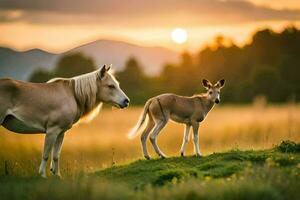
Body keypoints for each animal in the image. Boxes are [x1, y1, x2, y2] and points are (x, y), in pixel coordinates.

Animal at [0, 65, 129, 177]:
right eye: (111, 86)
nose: (126, 101)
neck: (73, 94)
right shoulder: (52, 131)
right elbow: (46, 154)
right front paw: (42, 175)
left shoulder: (60, 133)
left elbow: (56, 155)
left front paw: (57, 175)